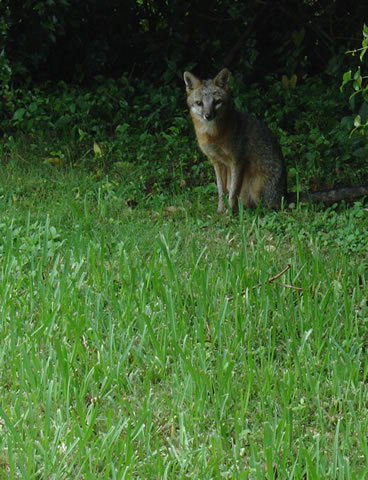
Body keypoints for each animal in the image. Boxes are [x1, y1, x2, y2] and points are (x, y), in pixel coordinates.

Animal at [184, 69, 368, 210]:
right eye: (199, 103)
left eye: (217, 102)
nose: (208, 115)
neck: (213, 135)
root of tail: (283, 193)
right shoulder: (217, 162)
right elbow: (221, 192)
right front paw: (221, 212)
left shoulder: (237, 161)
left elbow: (232, 193)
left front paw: (230, 214)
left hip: (256, 188)